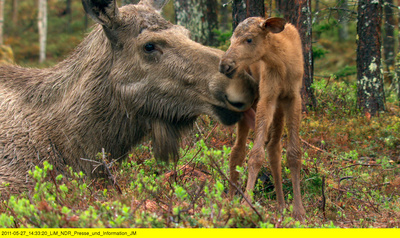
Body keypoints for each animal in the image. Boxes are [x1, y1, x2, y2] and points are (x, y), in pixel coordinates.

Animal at [220, 17, 304, 221]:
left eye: (249, 39)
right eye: (231, 39)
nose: (224, 64)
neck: (282, 62)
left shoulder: (293, 97)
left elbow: (294, 154)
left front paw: (298, 210)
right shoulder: (267, 96)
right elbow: (256, 154)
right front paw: (246, 206)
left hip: (278, 107)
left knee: (274, 149)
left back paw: (281, 205)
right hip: (249, 105)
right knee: (237, 150)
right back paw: (231, 200)